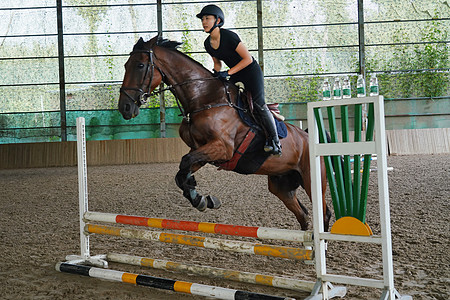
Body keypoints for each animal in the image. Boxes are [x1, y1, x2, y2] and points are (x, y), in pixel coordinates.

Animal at [118, 36, 330, 231]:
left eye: (140, 65)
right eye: (126, 65)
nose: (125, 108)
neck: (204, 98)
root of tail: (308, 137)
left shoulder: (222, 148)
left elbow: (185, 163)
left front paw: (200, 198)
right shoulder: (203, 152)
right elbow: (182, 172)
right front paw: (200, 197)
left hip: (312, 180)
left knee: (324, 213)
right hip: (282, 186)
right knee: (302, 214)